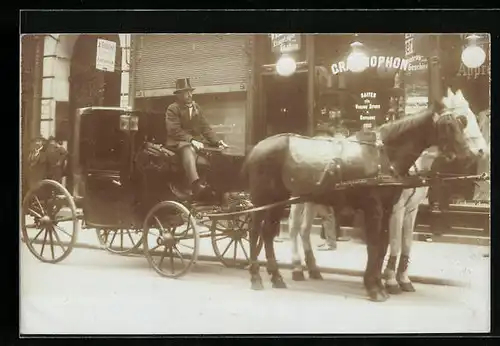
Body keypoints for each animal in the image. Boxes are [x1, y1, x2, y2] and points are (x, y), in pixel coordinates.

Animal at [244, 102, 478, 300]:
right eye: (447, 127)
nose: (469, 157)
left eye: (461, 124)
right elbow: (375, 245)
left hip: (280, 199)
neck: (383, 155)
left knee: (268, 233)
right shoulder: (375, 209)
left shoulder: (389, 209)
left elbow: (383, 246)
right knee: (256, 232)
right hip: (263, 199)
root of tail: (257, 148)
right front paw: (375, 287)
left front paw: (377, 283)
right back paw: (256, 276)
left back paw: (277, 276)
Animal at [382, 88, 488, 294]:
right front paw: (390, 280)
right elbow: (396, 243)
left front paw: (403, 279)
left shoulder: (411, 209)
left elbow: (407, 243)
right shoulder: (396, 209)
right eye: (463, 119)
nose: (482, 150)